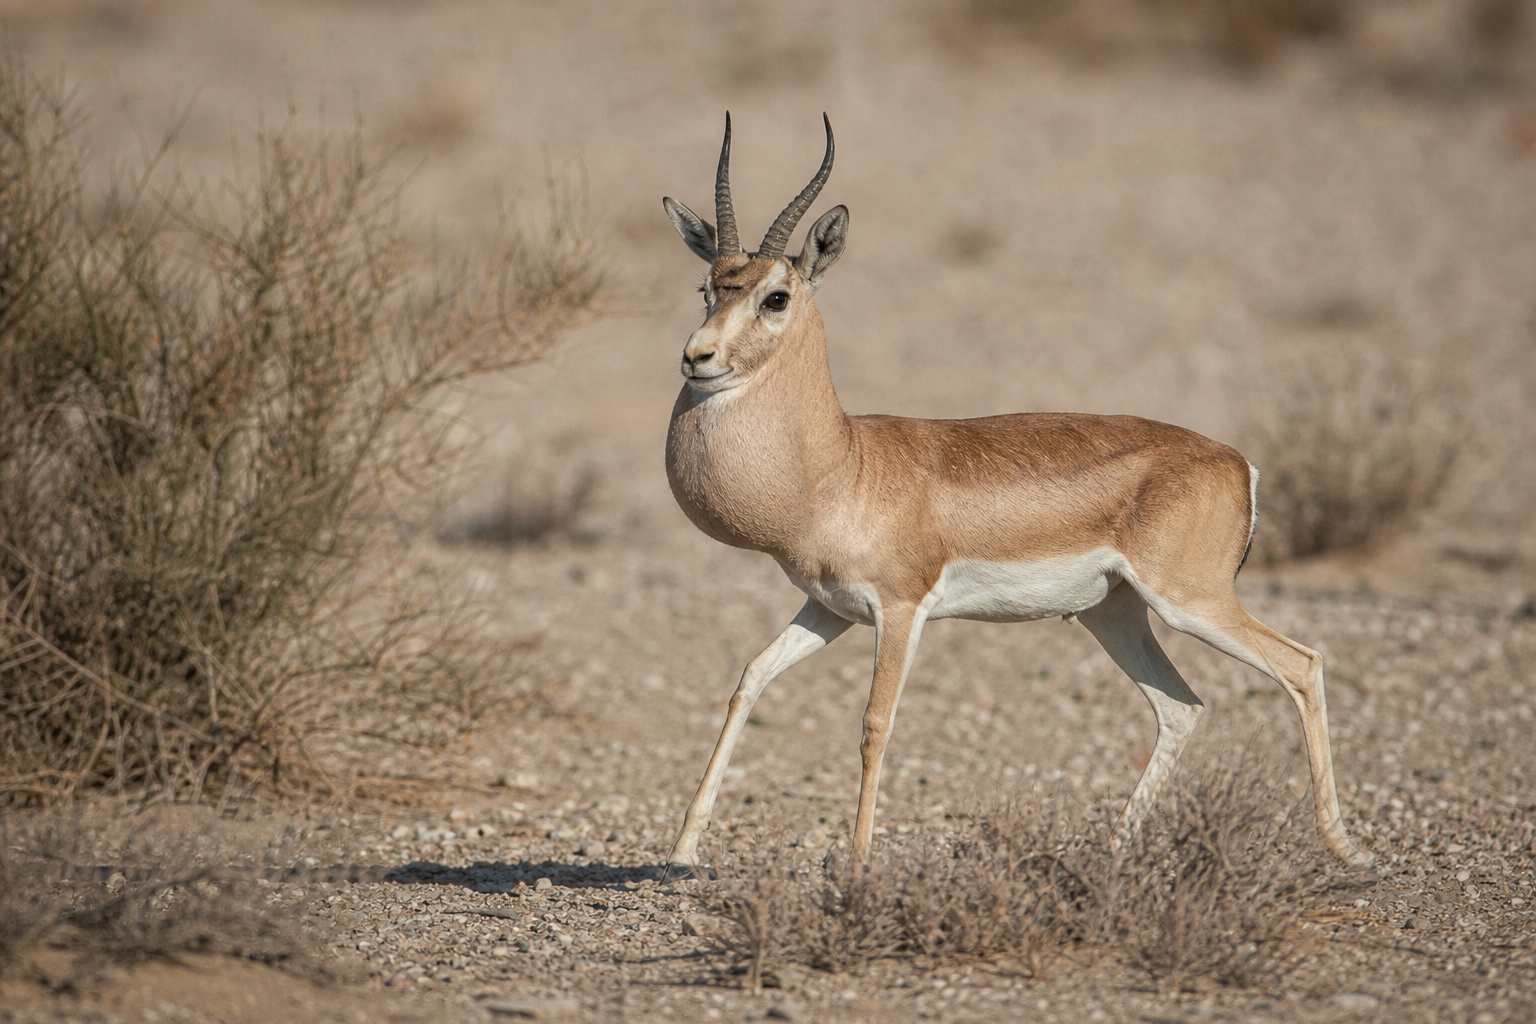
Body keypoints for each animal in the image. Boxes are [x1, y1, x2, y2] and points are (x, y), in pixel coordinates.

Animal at [660, 114, 1373, 870]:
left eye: (776, 296)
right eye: (708, 289)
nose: (697, 357)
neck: (843, 464)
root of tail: (1237, 463)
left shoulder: (901, 610)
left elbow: (876, 722)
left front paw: (856, 868)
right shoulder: (829, 609)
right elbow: (749, 680)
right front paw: (681, 852)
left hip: (1191, 601)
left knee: (1302, 665)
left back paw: (1347, 849)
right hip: (1115, 613)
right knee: (1182, 707)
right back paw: (1111, 853)